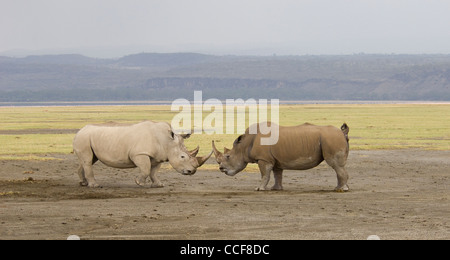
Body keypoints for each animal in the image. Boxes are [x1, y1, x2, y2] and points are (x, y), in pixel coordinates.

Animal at [72, 121, 213, 188]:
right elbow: (146, 169)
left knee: (88, 160)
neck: (167, 141)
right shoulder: (139, 154)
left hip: (87, 138)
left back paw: (83, 183)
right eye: (182, 157)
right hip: (84, 138)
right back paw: (94, 186)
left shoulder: (158, 157)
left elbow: (154, 171)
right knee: (88, 160)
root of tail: (80, 130)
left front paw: (158, 185)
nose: (192, 171)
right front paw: (139, 183)